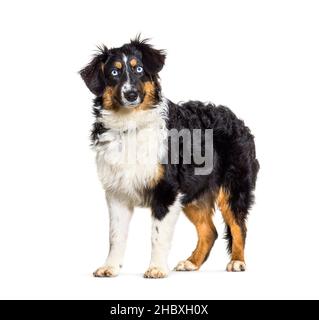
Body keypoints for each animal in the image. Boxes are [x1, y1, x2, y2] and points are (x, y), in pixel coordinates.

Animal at [80, 37, 260, 278]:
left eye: (139, 69)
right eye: (114, 72)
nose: (131, 94)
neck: (130, 126)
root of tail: (238, 120)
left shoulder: (166, 191)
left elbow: (158, 236)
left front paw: (156, 268)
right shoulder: (117, 193)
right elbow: (116, 236)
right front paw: (110, 267)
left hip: (233, 187)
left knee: (239, 226)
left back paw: (237, 261)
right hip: (193, 193)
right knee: (209, 232)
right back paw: (191, 263)